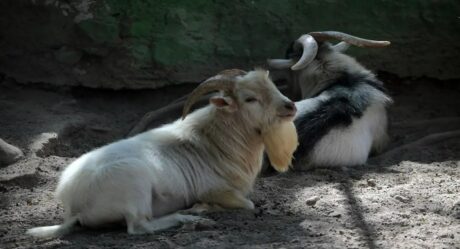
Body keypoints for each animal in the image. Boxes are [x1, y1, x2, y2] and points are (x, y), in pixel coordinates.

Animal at [27, 69, 298, 237]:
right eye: (250, 99)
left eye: (272, 86)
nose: (290, 106)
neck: (213, 141)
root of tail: (73, 205)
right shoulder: (217, 190)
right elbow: (249, 205)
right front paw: (201, 207)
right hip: (134, 185)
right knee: (138, 227)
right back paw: (190, 217)